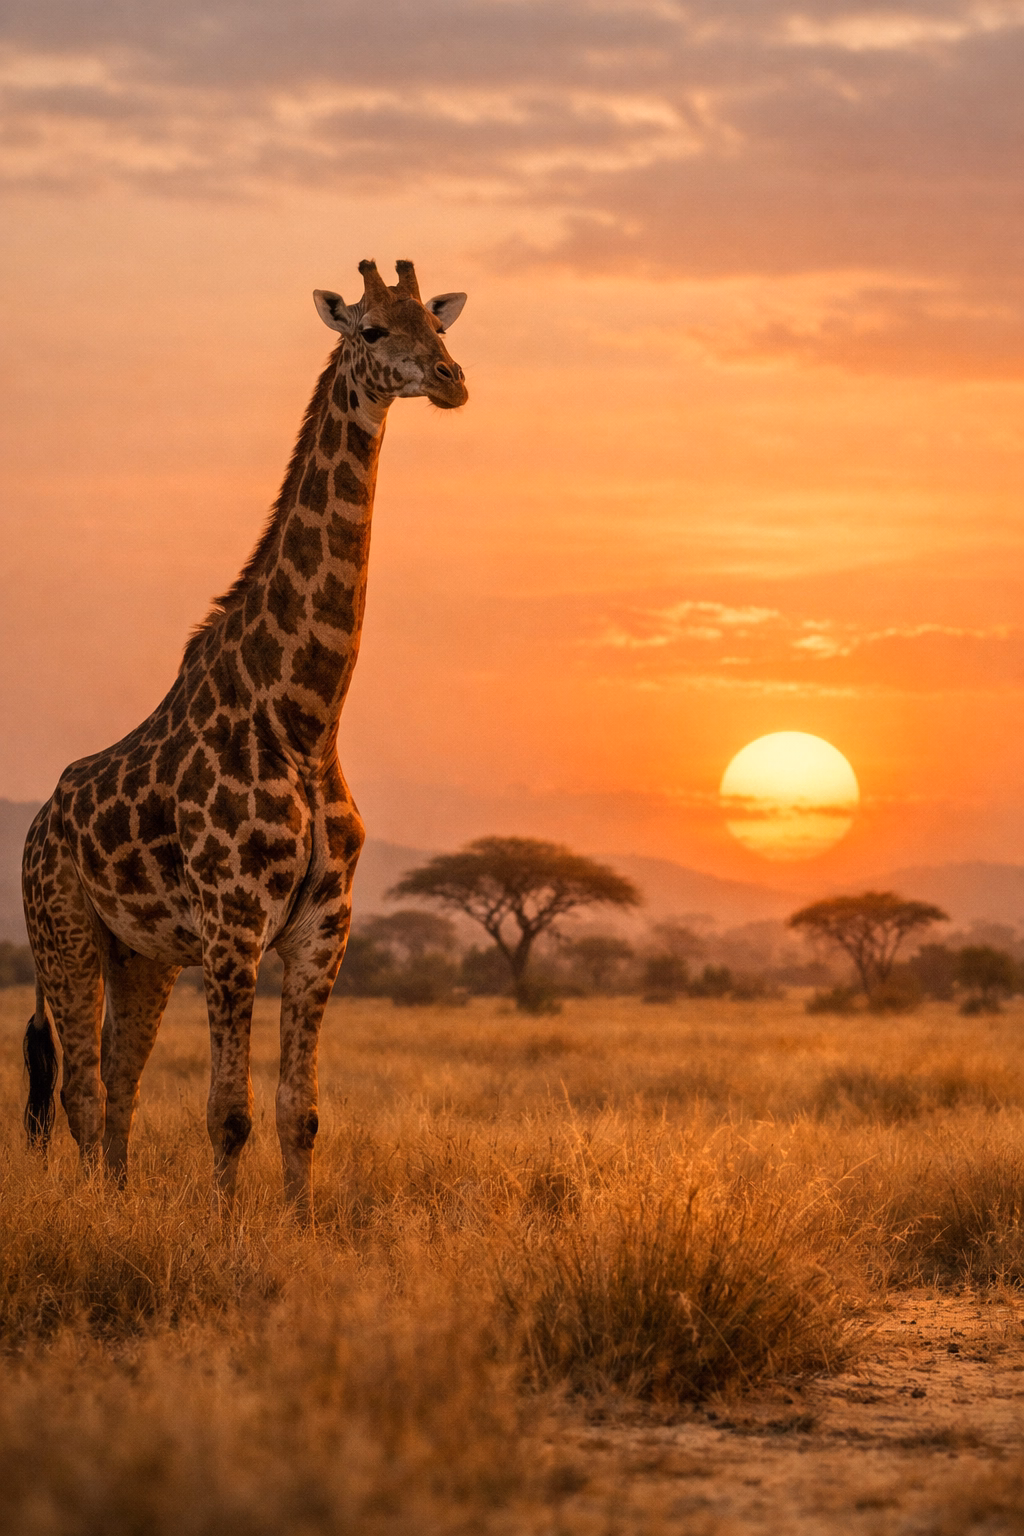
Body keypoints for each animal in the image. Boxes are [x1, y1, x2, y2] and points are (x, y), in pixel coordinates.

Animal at [21, 259, 468, 1218]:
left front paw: (299, 1230)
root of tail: (37, 822)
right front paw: (228, 1236)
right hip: (61, 929)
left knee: (118, 1078)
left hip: (141, 954)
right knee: (76, 1086)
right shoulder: (233, 924)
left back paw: (119, 1204)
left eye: (440, 324)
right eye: (372, 329)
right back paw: (98, 1211)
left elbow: (302, 1111)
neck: (303, 717)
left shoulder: (323, 929)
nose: (452, 380)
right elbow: (230, 1113)